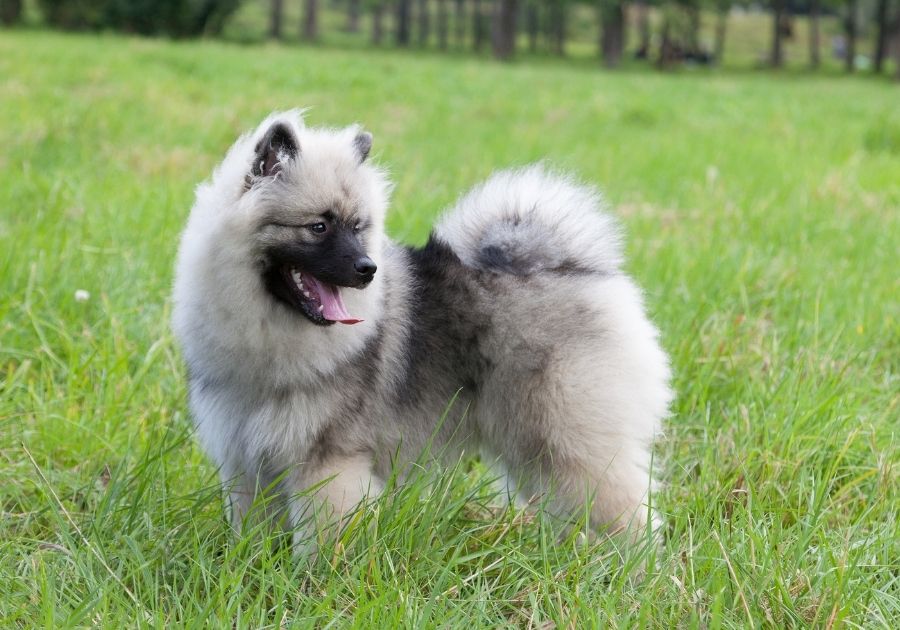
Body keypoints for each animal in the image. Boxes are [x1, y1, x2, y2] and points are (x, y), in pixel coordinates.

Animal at [172, 111, 672, 556]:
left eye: (358, 228)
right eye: (319, 226)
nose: (367, 269)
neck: (270, 331)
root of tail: (578, 270)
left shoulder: (328, 464)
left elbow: (324, 541)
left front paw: (315, 585)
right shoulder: (247, 461)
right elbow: (253, 529)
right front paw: (250, 568)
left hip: (569, 438)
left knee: (628, 515)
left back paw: (638, 576)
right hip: (534, 447)